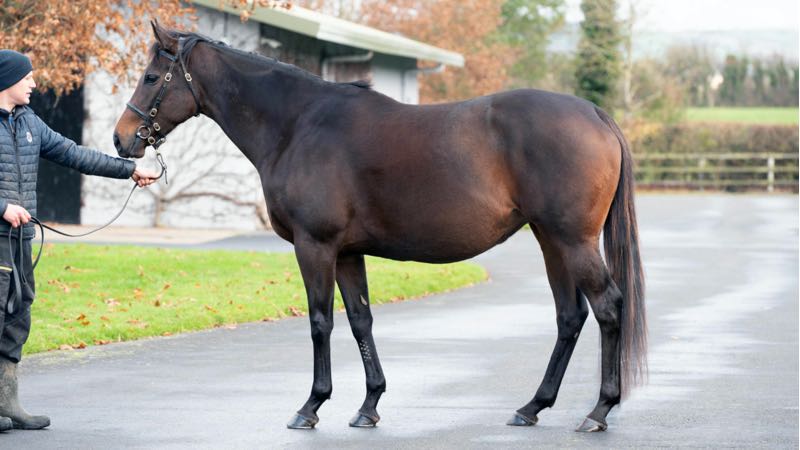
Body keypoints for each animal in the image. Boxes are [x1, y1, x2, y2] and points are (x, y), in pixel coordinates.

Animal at [113, 22, 646, 433]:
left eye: (152, 76)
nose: (122, 140)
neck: (298, 125)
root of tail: (594, 113)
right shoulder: (348, 253)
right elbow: (360, 321)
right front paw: (369, 406)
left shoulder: (315, 246)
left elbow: (320, 321)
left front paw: (311, 406)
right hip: (550, 240)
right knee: (569, 316)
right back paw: (532, 407)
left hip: (572, 241)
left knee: (608, 307)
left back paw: (598, 411)